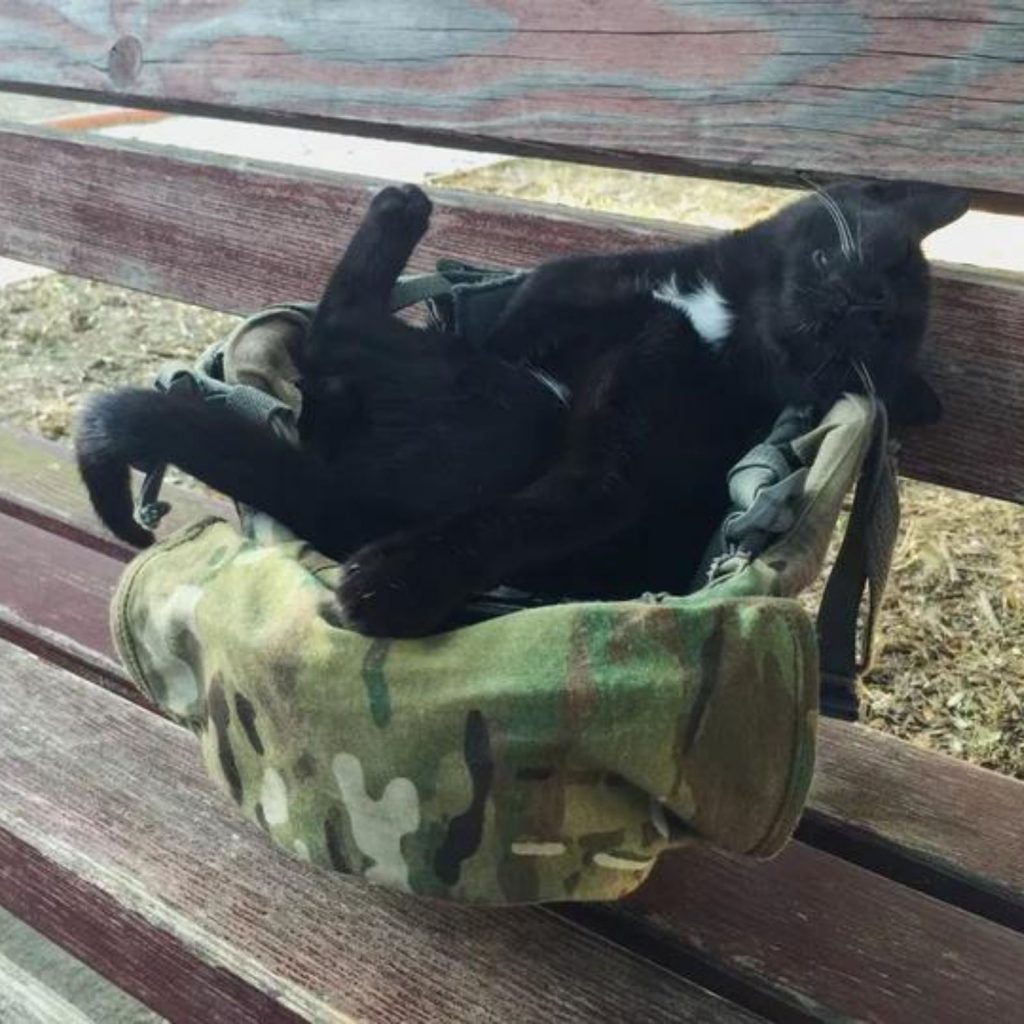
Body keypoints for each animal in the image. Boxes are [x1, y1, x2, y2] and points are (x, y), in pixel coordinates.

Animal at [77, 180, 966, 634]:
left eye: (871, 341)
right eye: (868, 260)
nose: (858, 303)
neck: (719, 319)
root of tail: (346, 499)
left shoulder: (611, 471)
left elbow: (533, 512)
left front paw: (396, 583)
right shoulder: (541, 304)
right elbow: (512, 322)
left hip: (508, 405)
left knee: (337, 333)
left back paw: (397, 212)